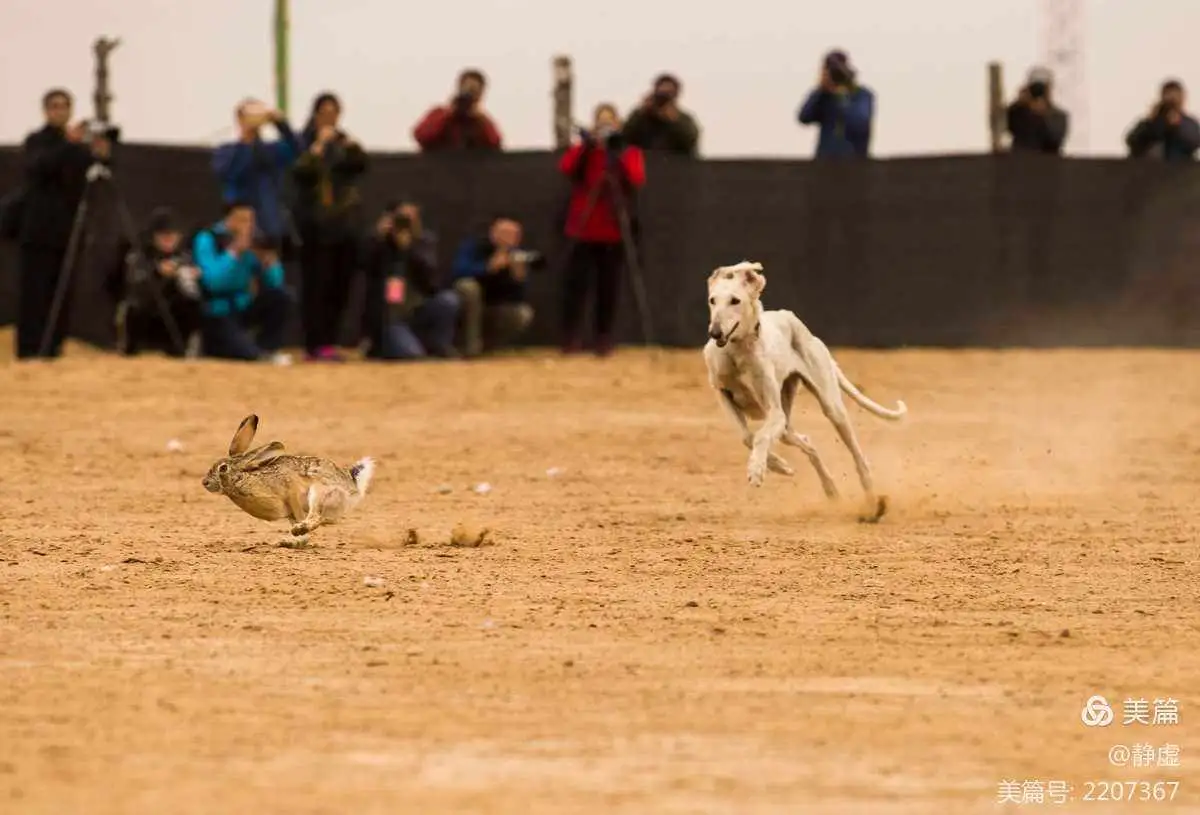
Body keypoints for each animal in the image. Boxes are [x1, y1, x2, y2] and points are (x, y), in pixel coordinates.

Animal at [700, 259, 902, 523]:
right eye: (712, 300)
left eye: (735, 300)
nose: (714, 333)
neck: (737, 351)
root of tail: (795, 321)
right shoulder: (723, 394)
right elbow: (747, 437)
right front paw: (777, 465)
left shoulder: (774, 412)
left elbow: (760, 437)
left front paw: (757, 470)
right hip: (786, 424)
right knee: (805, 442)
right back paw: (830, 489)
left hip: (829, 406)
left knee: (857, 455)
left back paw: (872, 503)